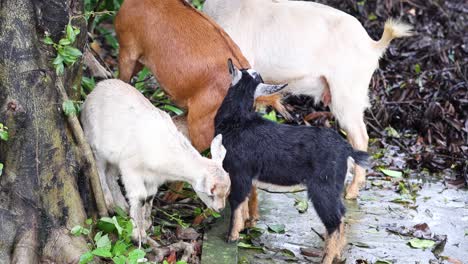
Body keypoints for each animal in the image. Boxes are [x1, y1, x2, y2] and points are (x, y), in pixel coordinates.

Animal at [82, 79, 232, 246]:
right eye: (210, 193)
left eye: (227, 191)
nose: (220, 209)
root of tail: (96, 89)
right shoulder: (131, 167)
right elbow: (140, 196)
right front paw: (138, 235)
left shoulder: (154, 177)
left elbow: (149, 196)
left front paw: (146, 223)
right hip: (93, 140)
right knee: (99, 170)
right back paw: (108, 203)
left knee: (110, 175)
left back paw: (121, 205)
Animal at [214, 59, 372, 264]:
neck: (238, 121)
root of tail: (347, 149)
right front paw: (245, 225)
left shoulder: (239, 171)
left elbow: (237, 200)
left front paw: (232, 236)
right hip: (334, 187)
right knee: (341, 214)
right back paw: (337, 254)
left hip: (323, 187)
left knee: (334, 219)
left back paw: (327, 258)